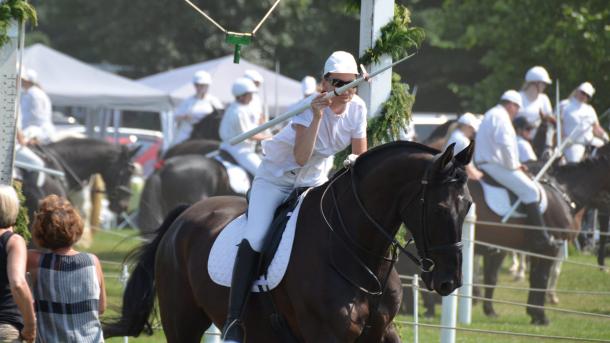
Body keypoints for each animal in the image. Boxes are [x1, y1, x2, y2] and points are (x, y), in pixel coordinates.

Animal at [107, 141, 472, 342]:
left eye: (468, 205)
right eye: (439, 209)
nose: (449, 281)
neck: (357, 252)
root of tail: (185, 215)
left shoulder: (382, 332)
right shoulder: (327, 335)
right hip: (182, 321)